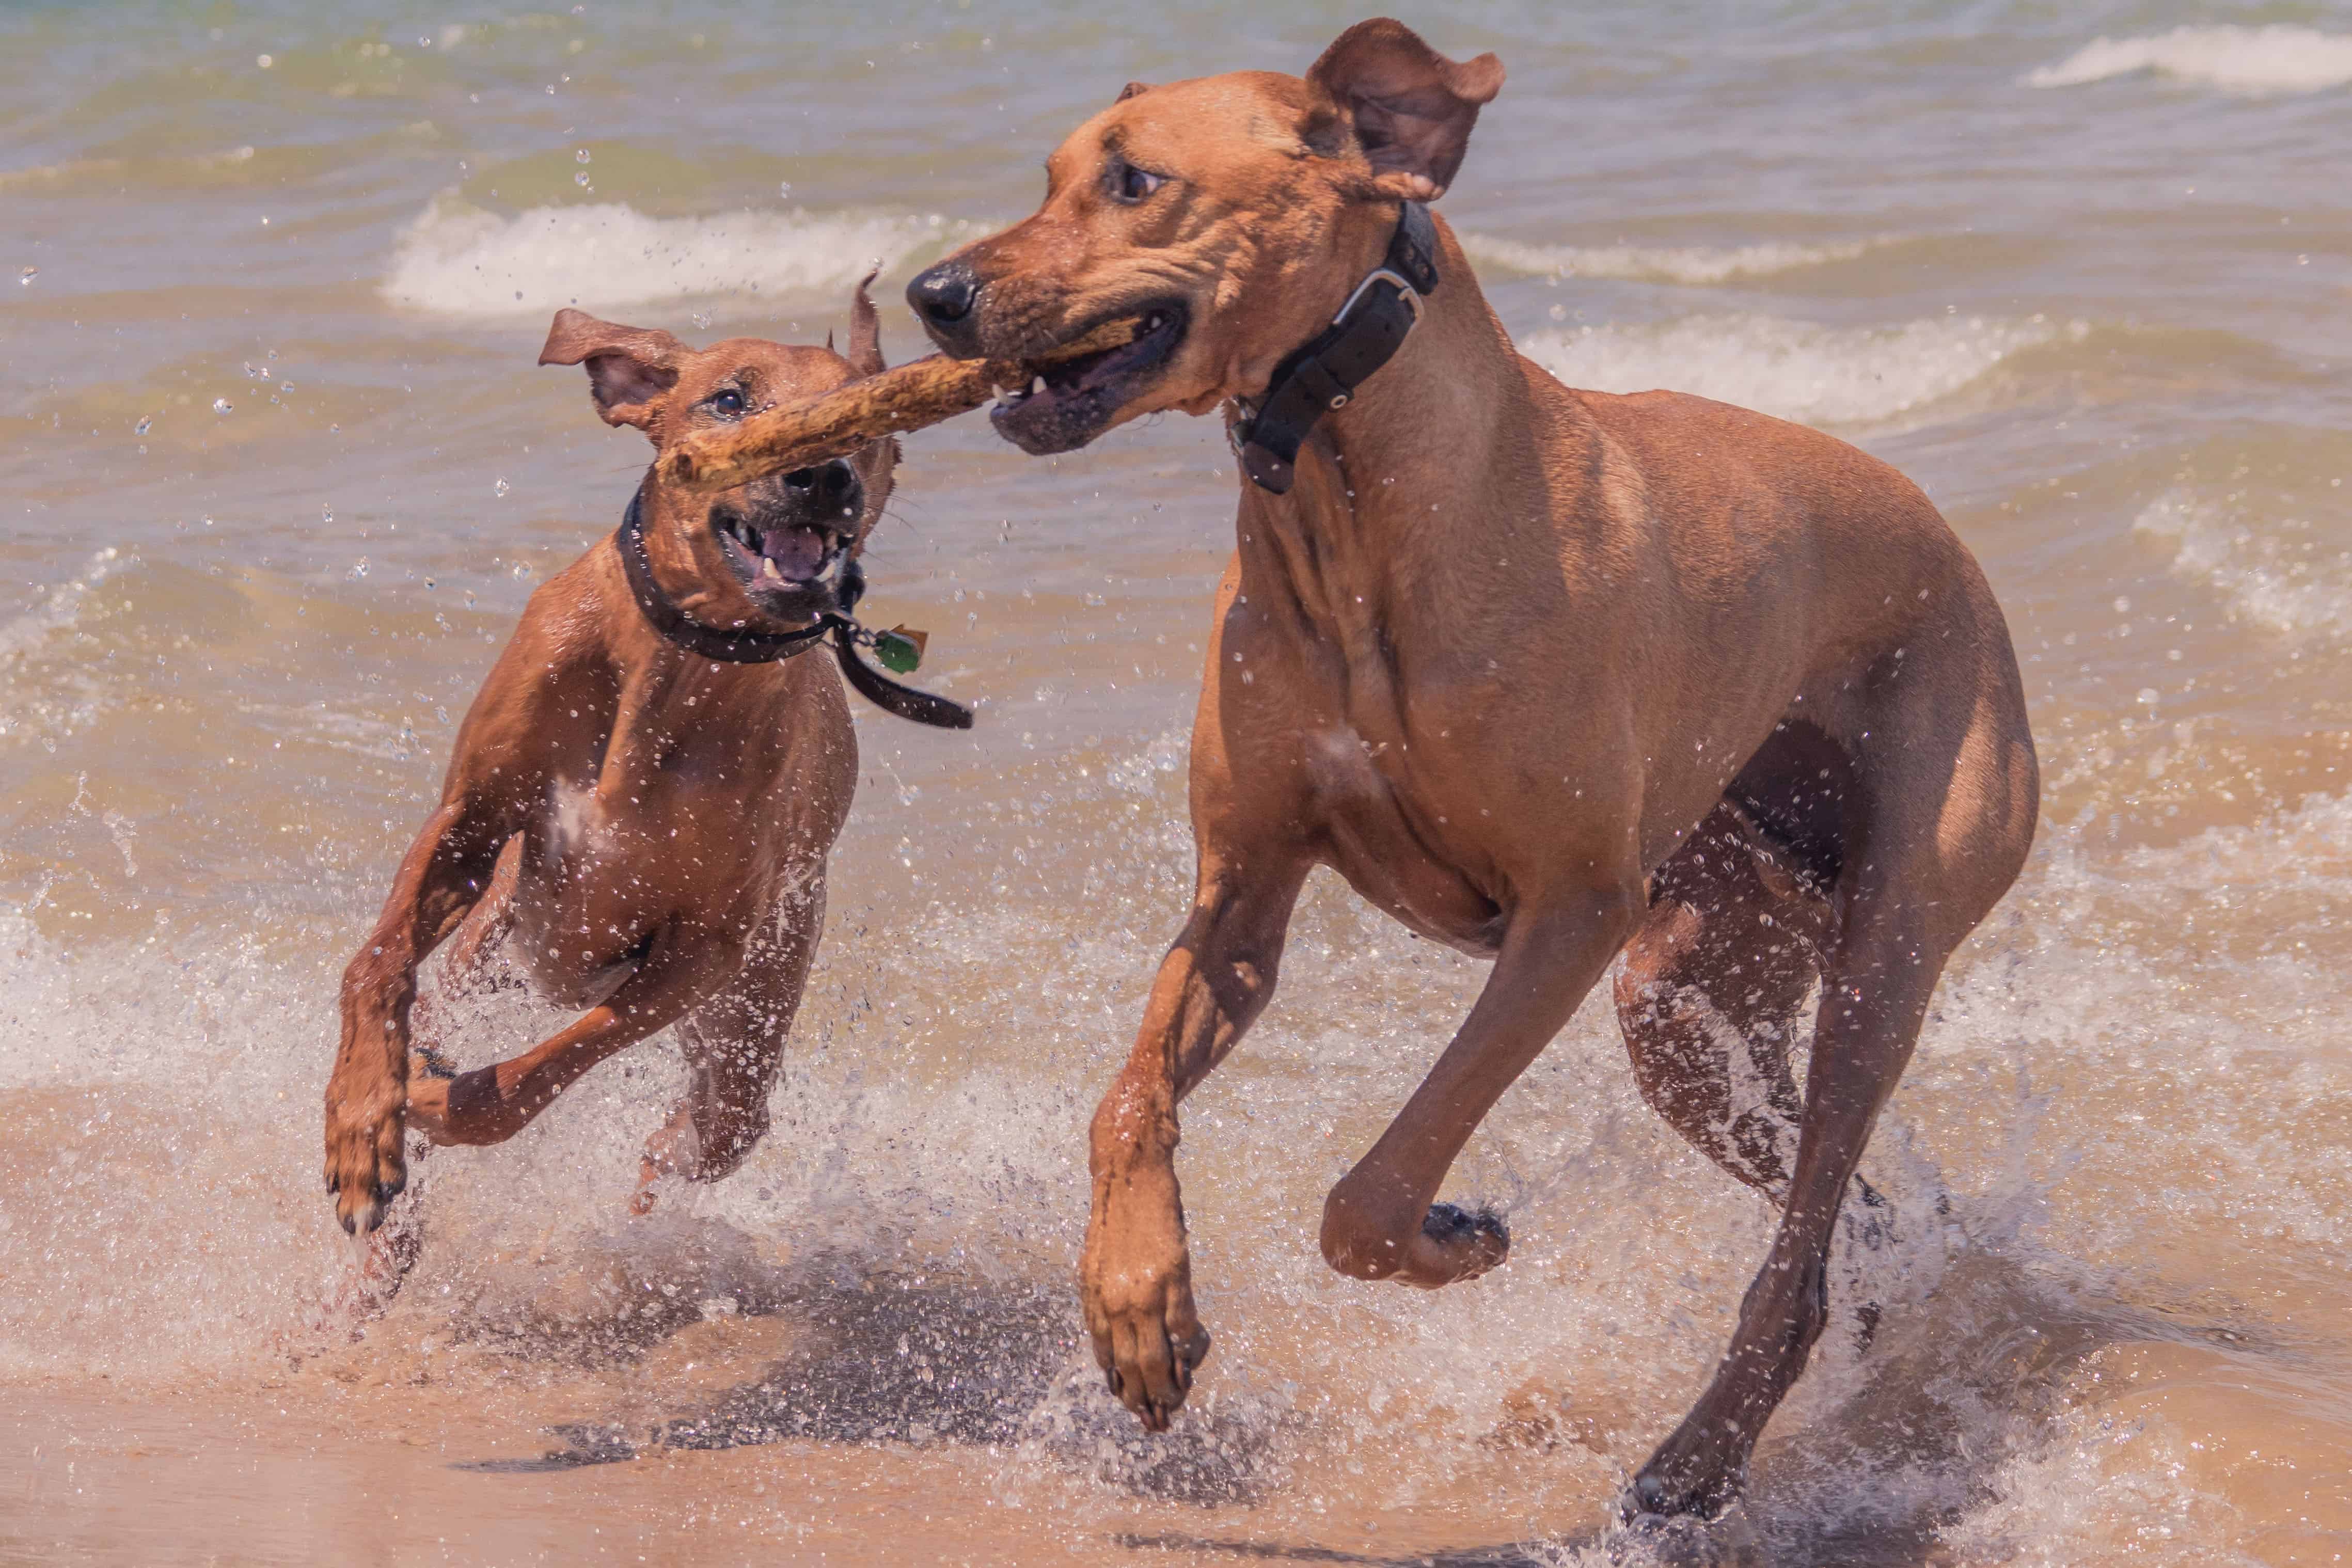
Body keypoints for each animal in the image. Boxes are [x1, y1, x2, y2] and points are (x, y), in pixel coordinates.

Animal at [322, 282, 917, 1250]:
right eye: (729, 399)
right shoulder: (470, 822)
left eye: (861, 414)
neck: (673, 669)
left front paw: (431, 1104)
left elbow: (537, 1074)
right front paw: (362, 1120)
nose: (823, 473)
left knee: (698, 1134)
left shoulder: (704, 952)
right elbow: (376, 961)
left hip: (751, 1019)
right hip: (489, 947)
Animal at [903, 18, 2041, 1523]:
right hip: (1684, 998)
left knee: (1798, 1242)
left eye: (1135, 181)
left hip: (1882, 942)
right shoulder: (1240, 896)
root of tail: (1957, 552)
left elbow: (1374, 1190)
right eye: (1046, 176)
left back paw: (1692, 1464)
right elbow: (1125, 1097)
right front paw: (1135, 1301)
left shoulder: (1568, 910)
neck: (1352, 493)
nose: (931, 293)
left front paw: (1455, 1230)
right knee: (1835, 1209)